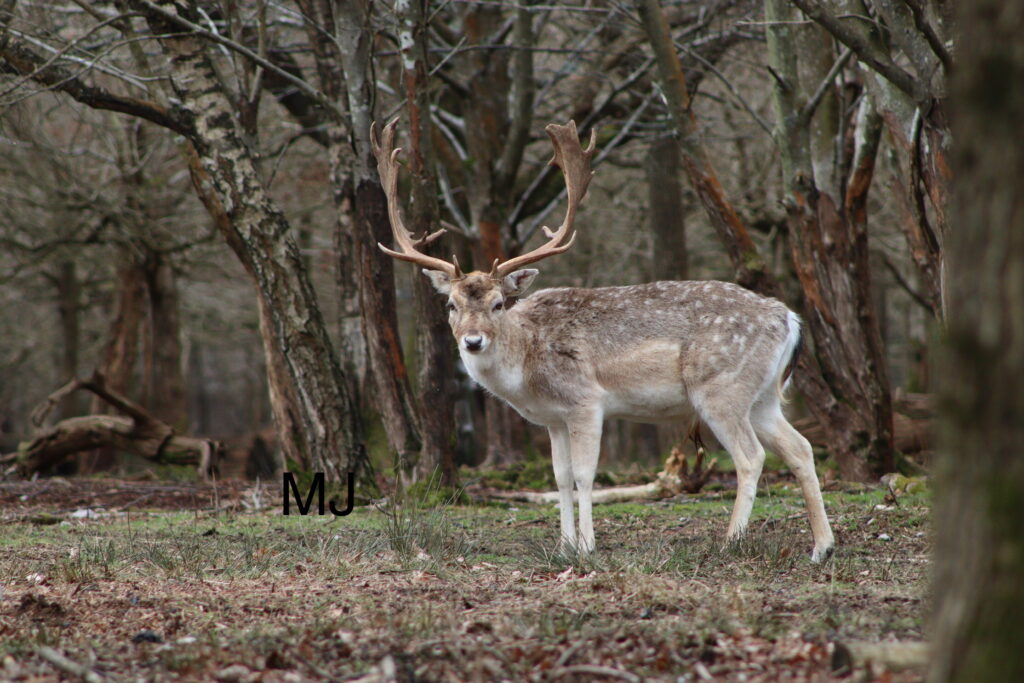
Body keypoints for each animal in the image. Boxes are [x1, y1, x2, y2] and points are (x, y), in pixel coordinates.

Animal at [370, 119, 835, 563]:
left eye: (499, 303)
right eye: (450, 304)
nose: (472, 341)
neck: (527, 367)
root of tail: (789, 318)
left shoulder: (585, 401)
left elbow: (583, 475)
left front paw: (587, 547)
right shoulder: (553, 419)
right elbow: (559, 477)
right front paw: (562, 546)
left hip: (721, 388)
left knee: (751, 456)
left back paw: (730, 541)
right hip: (763, 396)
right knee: (801, 448)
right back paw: (821, 547)